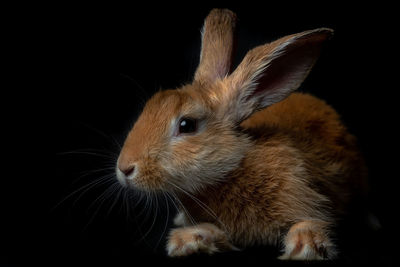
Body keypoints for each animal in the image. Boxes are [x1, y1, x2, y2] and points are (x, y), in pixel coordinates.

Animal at [114, 8, 368, 262]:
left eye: (187, 125)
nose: (124, 168)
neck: (233, 168)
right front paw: (189, 241)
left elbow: (309, 223)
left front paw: (303, 247)